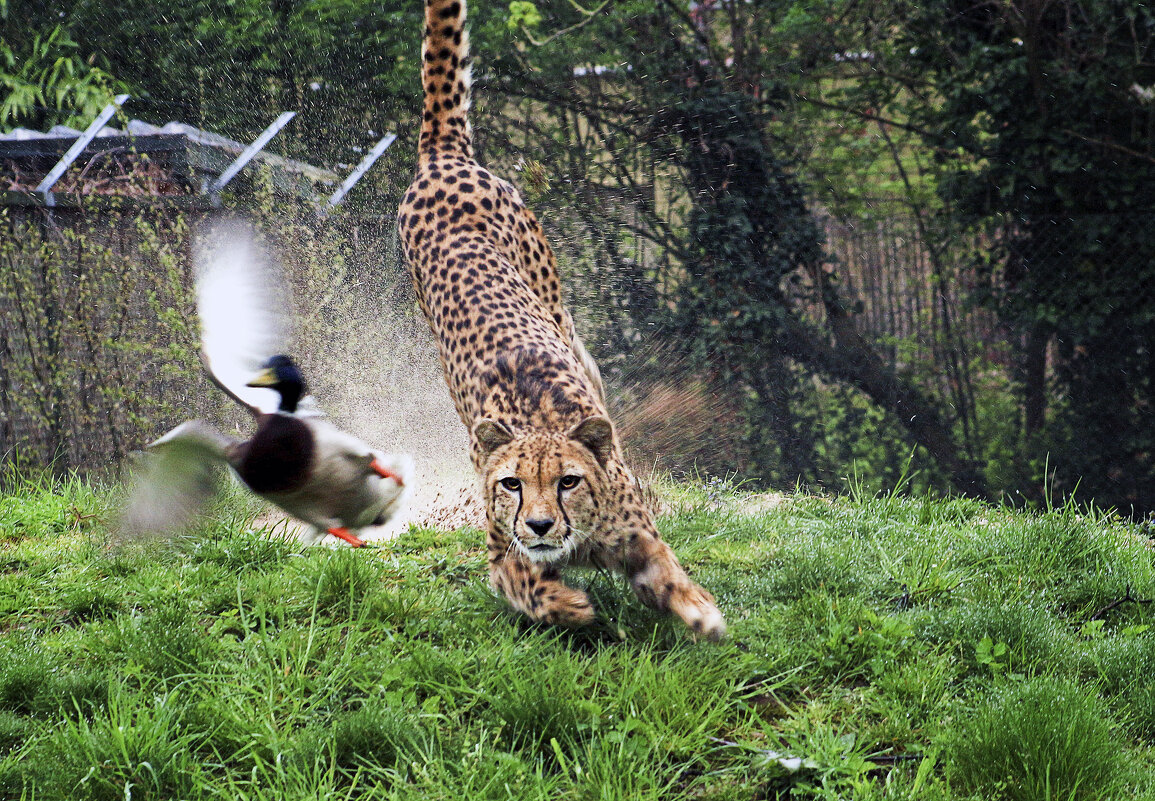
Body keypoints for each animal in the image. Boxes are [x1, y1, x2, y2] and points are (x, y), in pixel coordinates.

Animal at [397, 0, 720, 641]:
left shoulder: (638, 538)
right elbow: (530, 585)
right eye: (512, 484)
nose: (541, 525)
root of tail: (443, 159)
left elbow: (670, 576)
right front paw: (572, 606)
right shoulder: (502, 557)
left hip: (555, 303)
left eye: (567, 480)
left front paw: (702, 613)